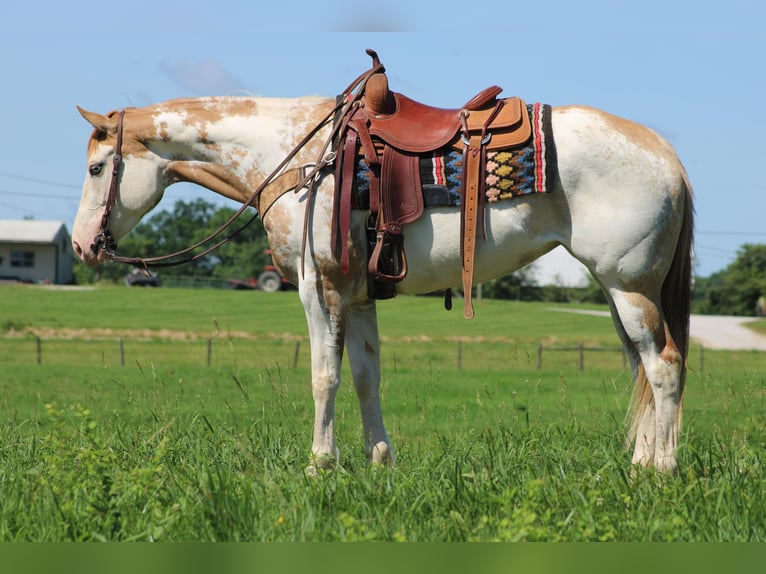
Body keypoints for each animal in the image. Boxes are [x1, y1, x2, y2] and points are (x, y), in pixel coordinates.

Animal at [73, 56, 696, 474]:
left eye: (98, 169)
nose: (83, 247)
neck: (304, 158)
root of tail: (667, 156)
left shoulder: (318, 288)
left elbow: (323, 375)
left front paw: (320, 464)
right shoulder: (359, 294)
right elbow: (365, 376)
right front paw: (379, 460)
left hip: (629, 286)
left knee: (663, 365)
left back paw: (661, 471)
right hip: (620, 291)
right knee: (642, 369)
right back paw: (641, 464)